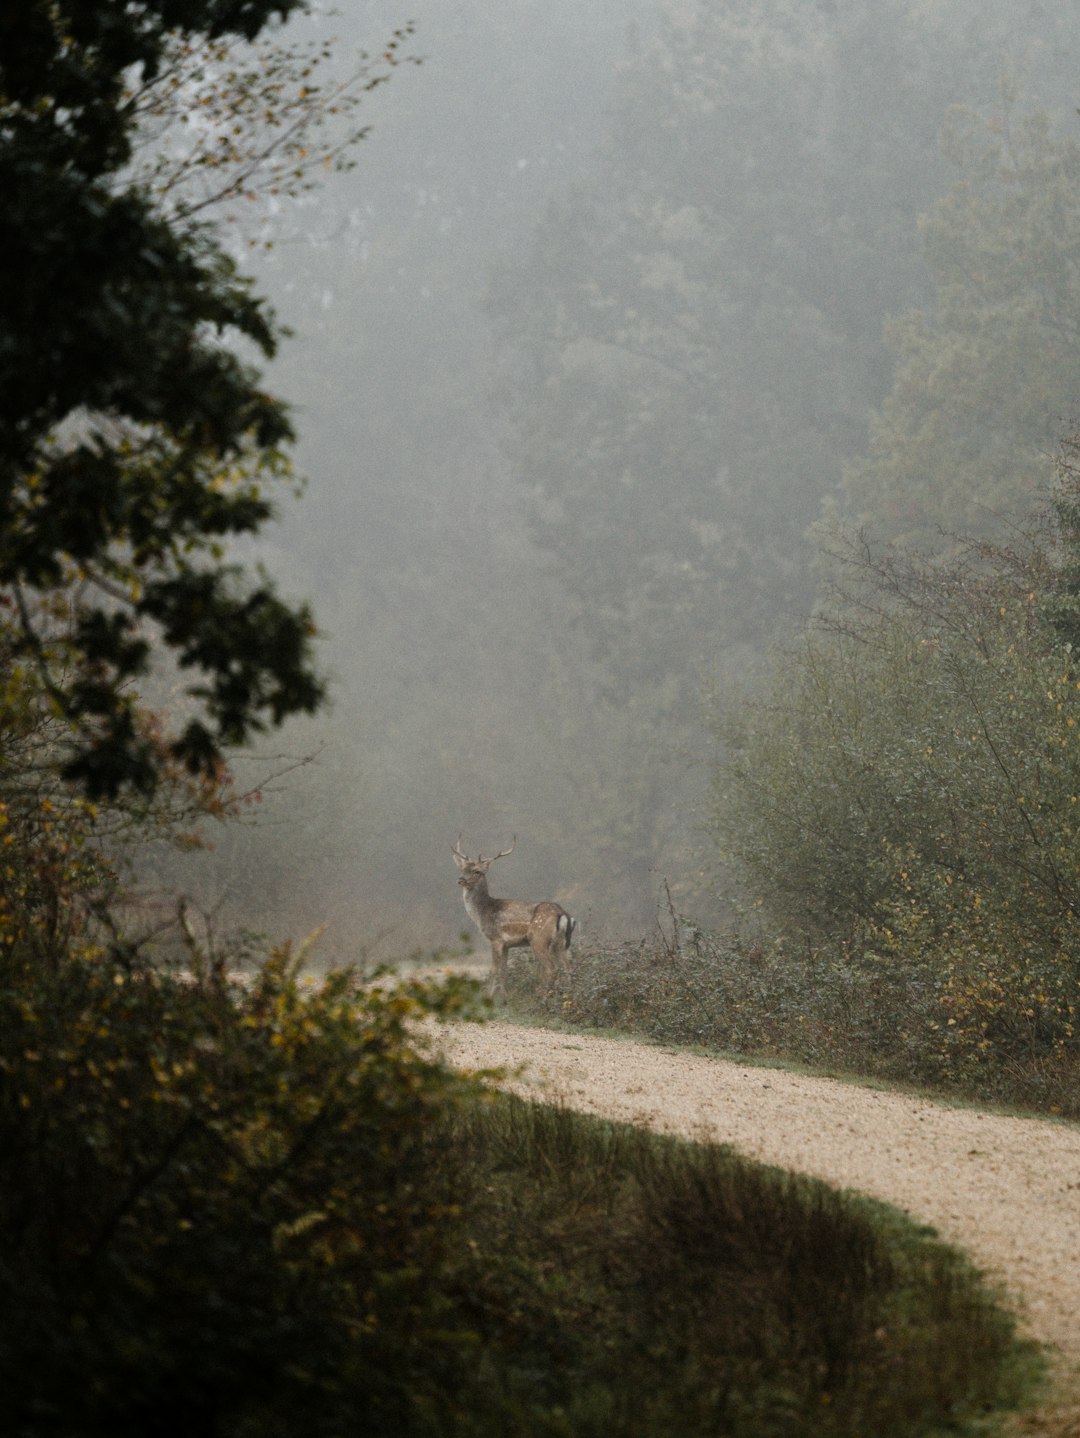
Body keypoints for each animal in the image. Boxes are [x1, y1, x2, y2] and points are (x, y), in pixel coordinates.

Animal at [451, 834, 578, 1000]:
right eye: (462, 869)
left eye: (477, 871)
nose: (461, 880)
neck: (482, 914)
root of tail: (562, 914)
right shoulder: (506, 945)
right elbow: (504, 972)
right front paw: (506, 999)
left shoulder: (495, 939)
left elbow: (494, 971)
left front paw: (489, 998)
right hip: (561, 944)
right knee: (569, 968)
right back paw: (569, 997)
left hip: (538, 939)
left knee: (551, 969)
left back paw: (545, 998)